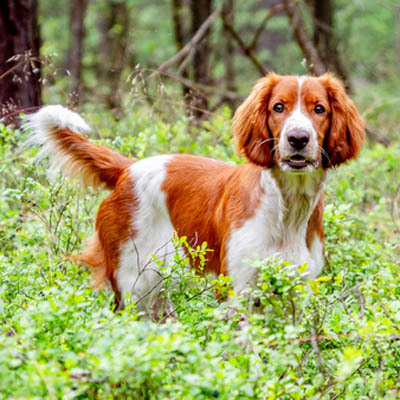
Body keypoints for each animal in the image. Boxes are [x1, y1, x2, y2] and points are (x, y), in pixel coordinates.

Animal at [25, 72, 366, 310]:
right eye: (278, 107)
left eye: (319, 109)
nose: (298, 139)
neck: (287, 208)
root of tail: (127, 169)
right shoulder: (237, 288)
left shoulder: (299, 289)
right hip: (132, 281)